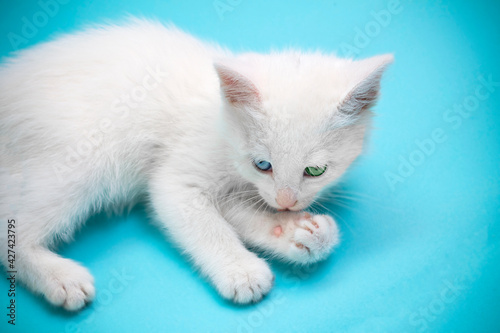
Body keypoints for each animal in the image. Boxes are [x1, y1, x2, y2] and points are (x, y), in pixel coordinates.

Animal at [0, 19, 390, 310]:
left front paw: (299, 232)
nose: (286, 203)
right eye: (263, 164)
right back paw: (61, 278)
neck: (222, 120)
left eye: (315, 171)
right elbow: (204, 223)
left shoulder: (240, 189)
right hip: (82, 157)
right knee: (10, 225)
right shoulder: (178, 175)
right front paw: (240, 271)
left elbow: (239, 210)